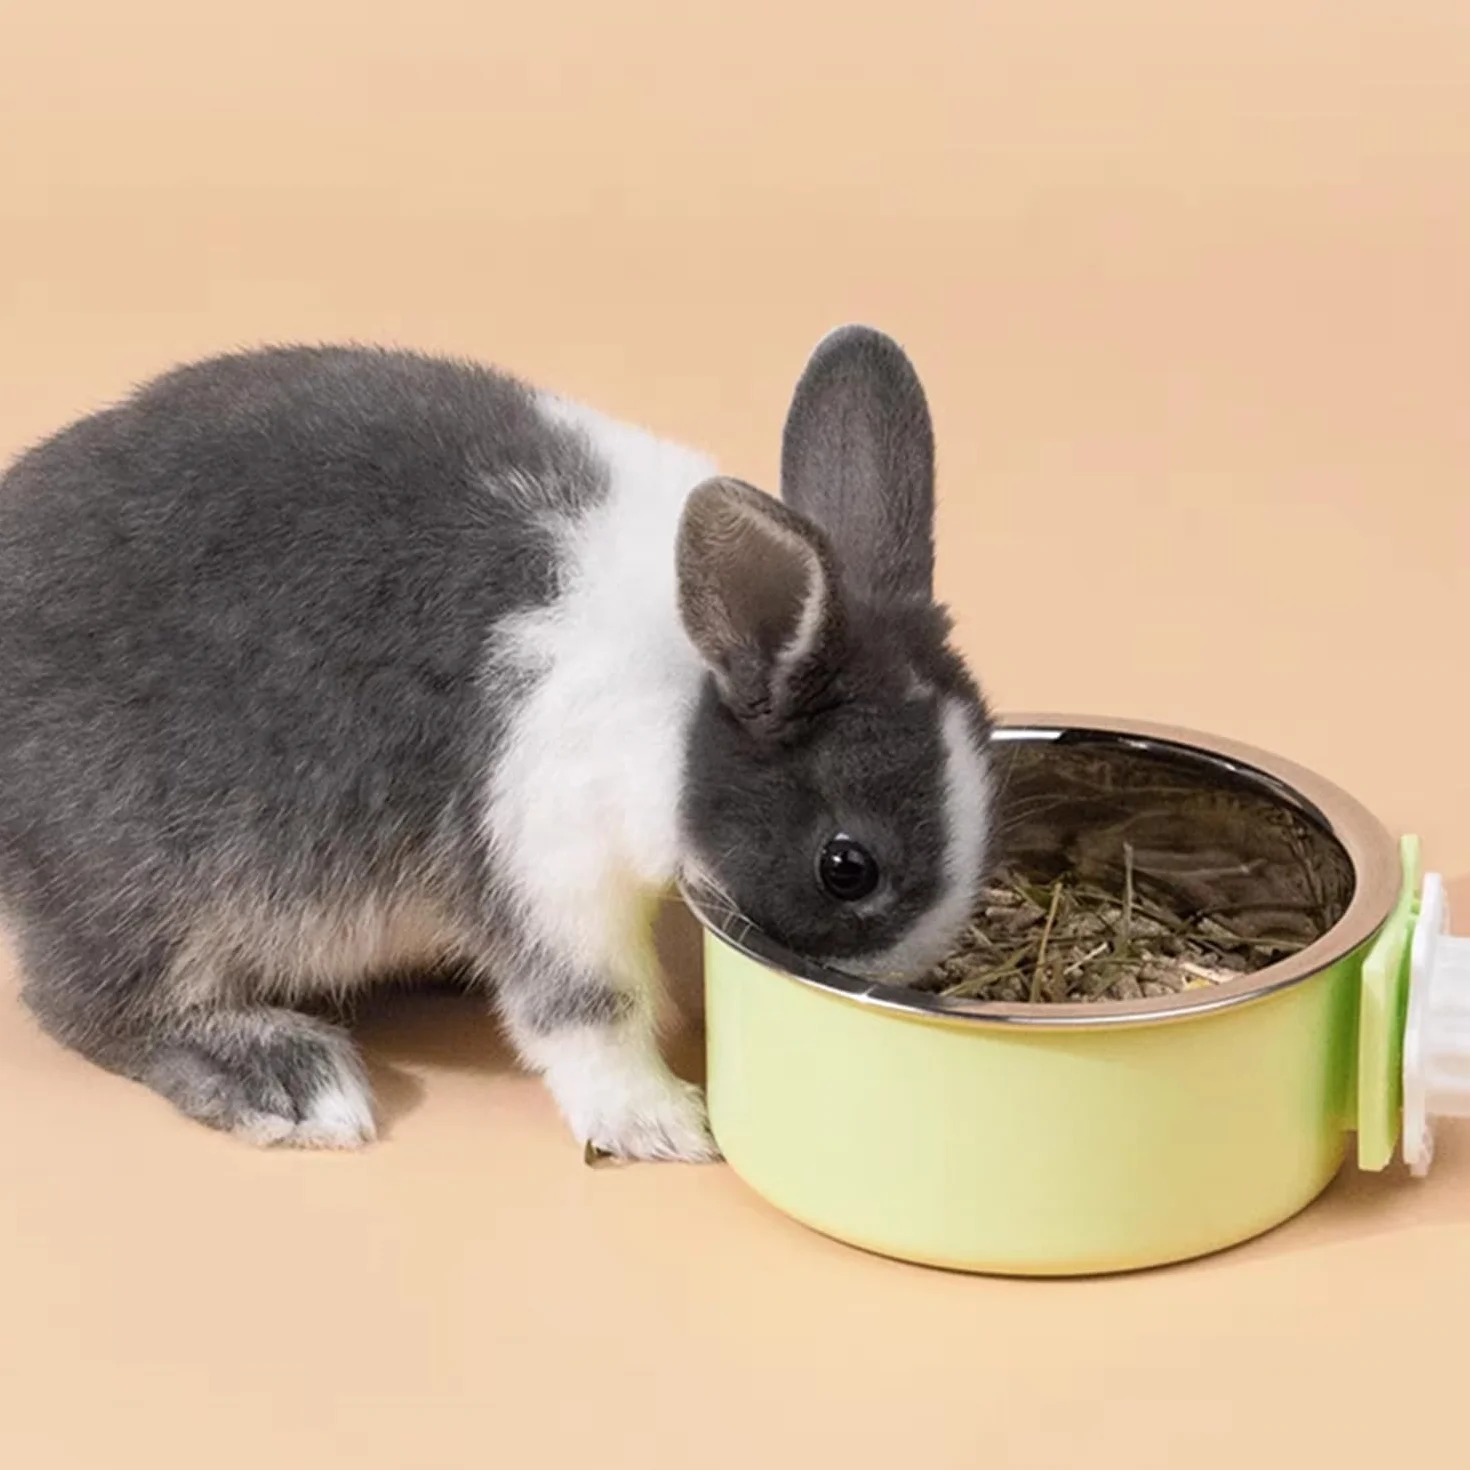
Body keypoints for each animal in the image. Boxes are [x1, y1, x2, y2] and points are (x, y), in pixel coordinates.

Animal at [0, 324, 995, 1159]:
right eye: (847, 866)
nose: (903, 977)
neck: (685, 691)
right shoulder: (548, 860)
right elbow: (589, 1011)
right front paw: (663, 1125)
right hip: (143, 876)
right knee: (93, 1006)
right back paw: (288, 1081)